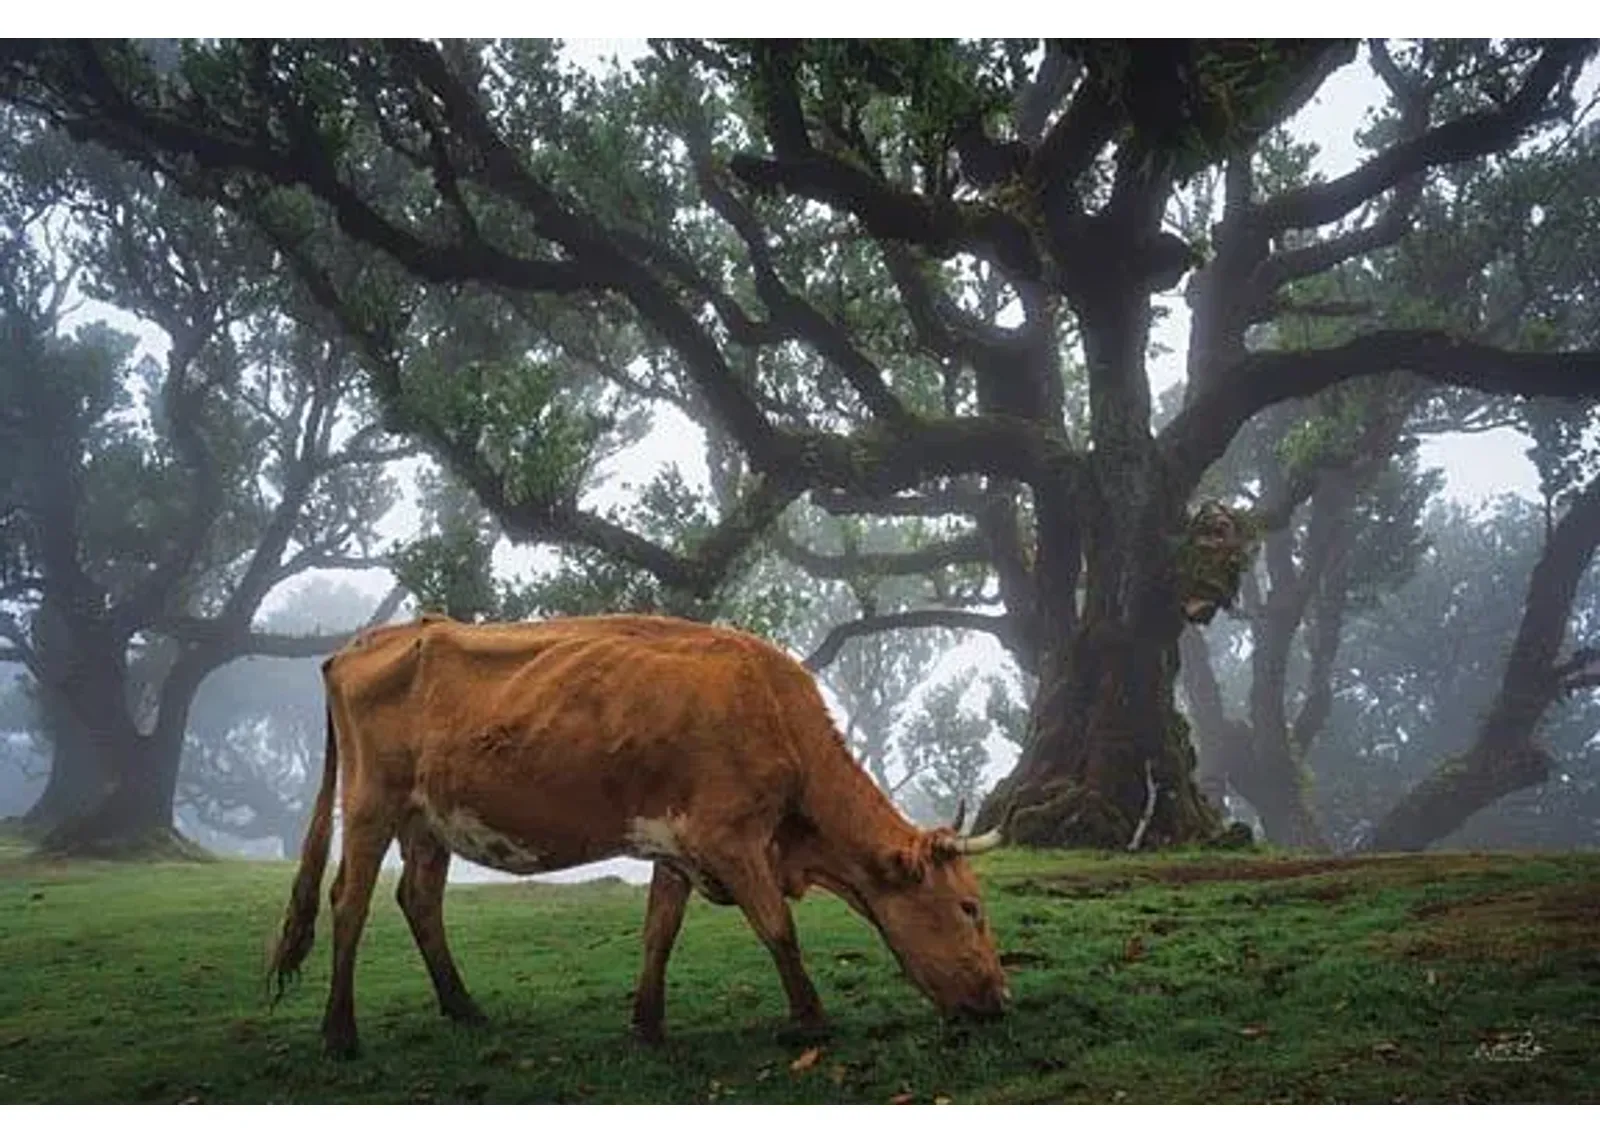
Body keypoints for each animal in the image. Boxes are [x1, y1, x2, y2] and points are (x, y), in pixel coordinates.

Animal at [268, 611, 1004, 1056]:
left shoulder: (676, 845)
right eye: (970, 907)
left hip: (429, 820)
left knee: (418, 900)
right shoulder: (730, 839)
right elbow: (778, 928)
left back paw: (463, 1006)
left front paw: (647, 1024)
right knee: (349, 902)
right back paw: (340, 1032)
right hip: (371, 803)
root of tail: (367, 641)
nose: (1001, 997)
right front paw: (812, 1018)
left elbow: (659, 931)